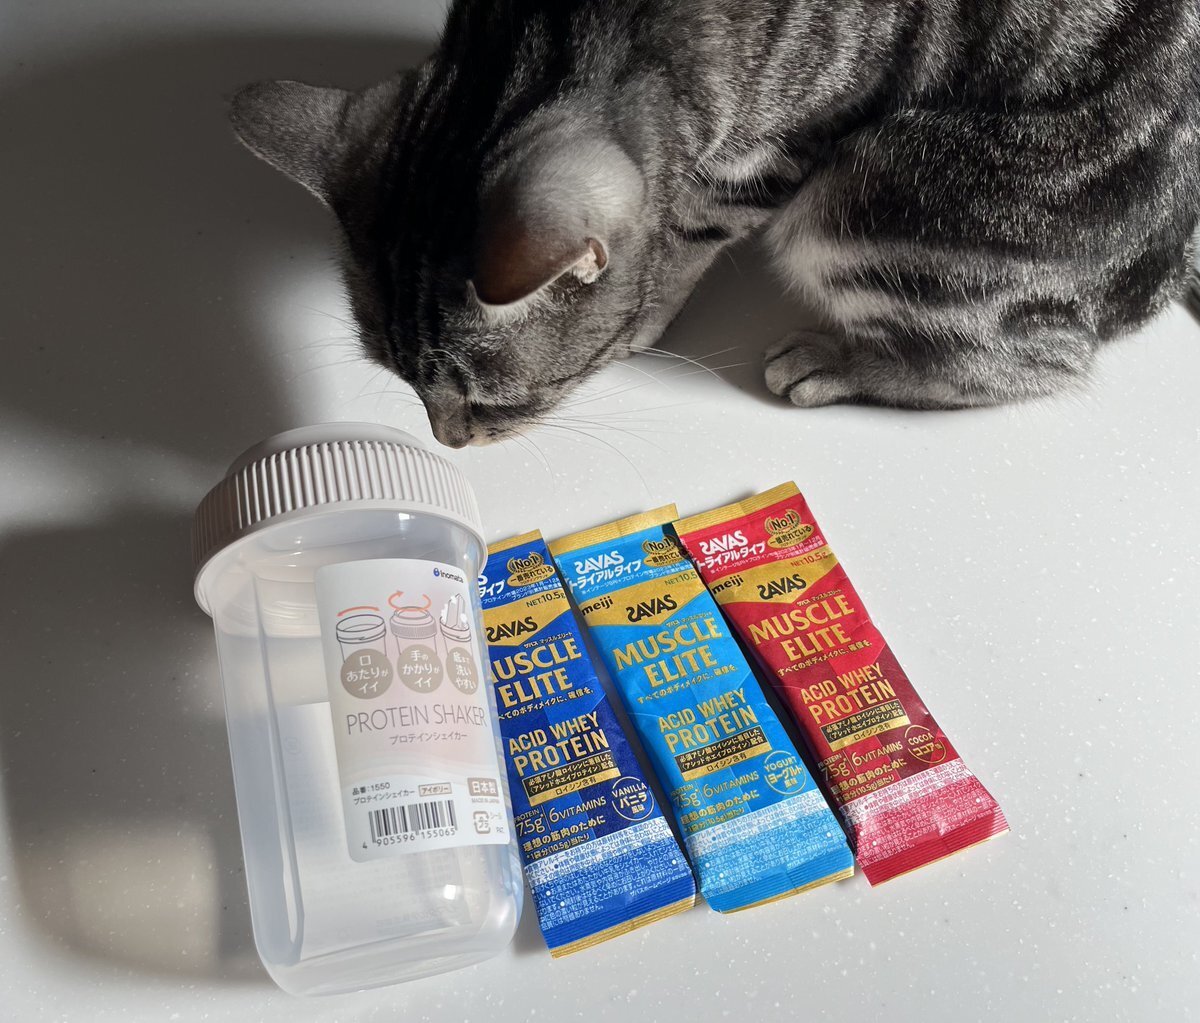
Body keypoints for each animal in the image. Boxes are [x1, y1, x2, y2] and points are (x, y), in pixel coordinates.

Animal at [231, 0, 1200, 448]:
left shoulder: (772, 154)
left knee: (1034, 361)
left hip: (872, 191)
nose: (451, 442)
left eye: (492, 402)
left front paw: (645, 314)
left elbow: (686, 238)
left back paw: (838, 363)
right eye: (398, 384)